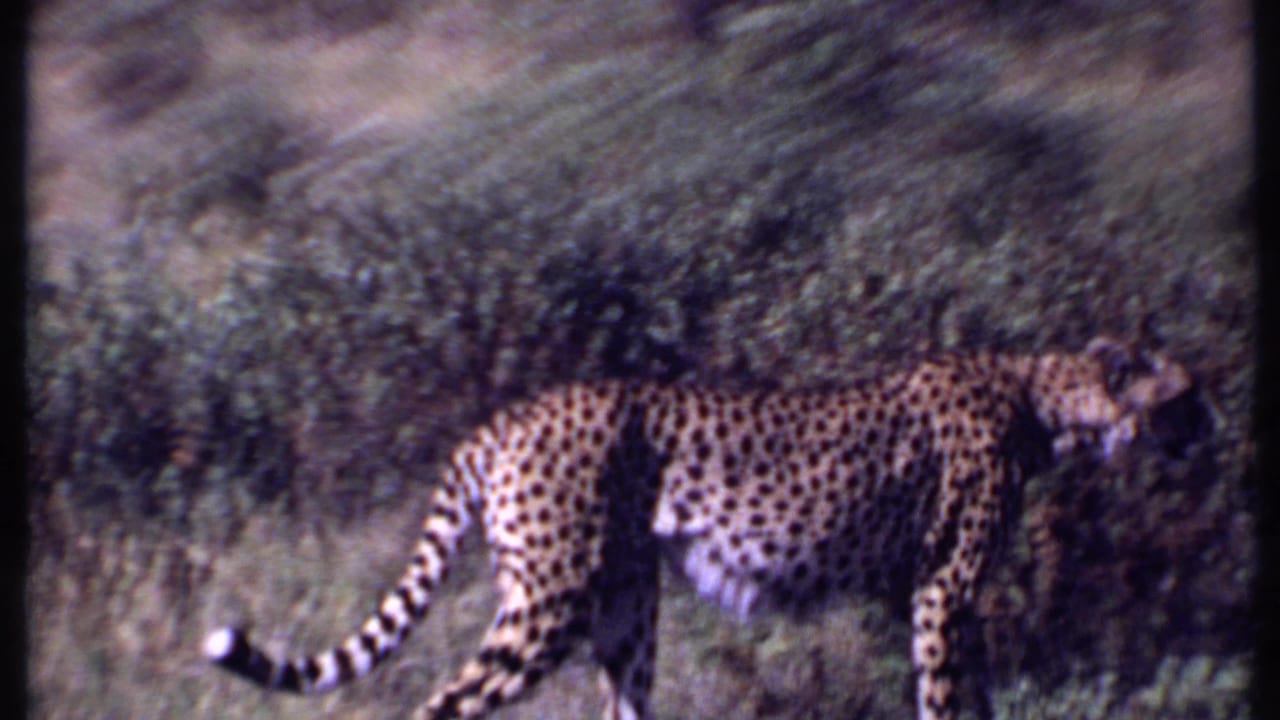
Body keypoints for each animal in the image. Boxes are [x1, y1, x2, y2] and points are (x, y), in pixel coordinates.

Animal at [204, 336, 1195, 720]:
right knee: (443, 702)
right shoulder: (942, 589)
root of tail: (507, 416)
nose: (1214, 427)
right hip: (548, 604)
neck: (1039, 400)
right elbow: (948, 694)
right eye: (1186, 394)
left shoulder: (939, 595)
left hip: (625, 606)